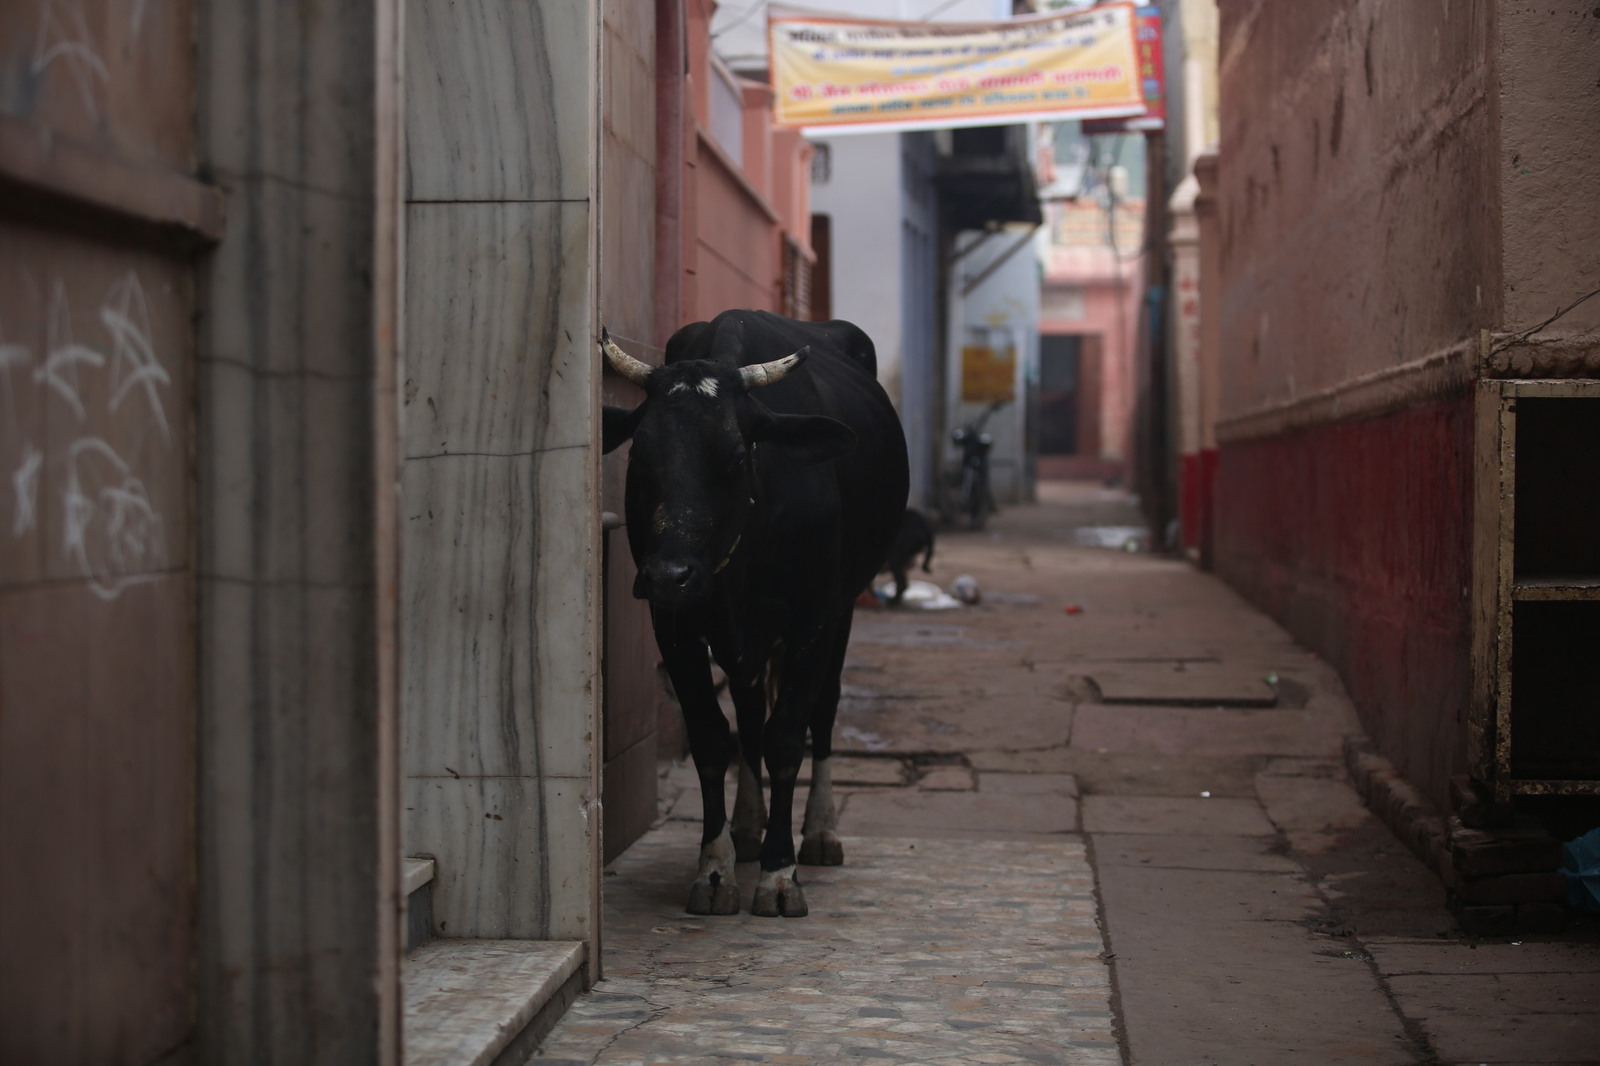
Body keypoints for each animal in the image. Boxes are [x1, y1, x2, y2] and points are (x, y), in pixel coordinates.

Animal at [601, 307, 908, 915]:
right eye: (640, 455)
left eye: (736, 456)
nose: (669, 575)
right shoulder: (675, 627)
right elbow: (712, 737)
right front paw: (716, 868)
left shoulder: (815, 617)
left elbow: (787, 736)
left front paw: (780, 872)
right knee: (747, 715)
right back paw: (747, 828)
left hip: (841, 612)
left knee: (823, 712)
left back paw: (819, 832)